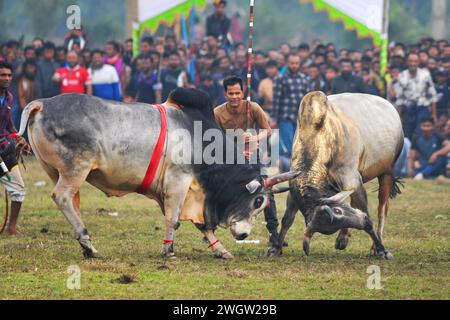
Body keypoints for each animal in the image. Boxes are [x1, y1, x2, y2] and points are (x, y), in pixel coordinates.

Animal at [19, 88, 298, 260]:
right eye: (258, 201)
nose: (244, 235)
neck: (200, 138)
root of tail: (42, 103)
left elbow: (201, 225)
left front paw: (221, 250)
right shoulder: (178, 181)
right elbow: (173, 219)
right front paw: (169, 251)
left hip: (56, 171)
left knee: (72, 202)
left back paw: (87, 246)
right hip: (75, 169)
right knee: (63, 197)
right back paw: (89, 243)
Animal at [270, 91, 404, 258]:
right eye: (338, 212)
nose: (364, 221)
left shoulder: (354, 181)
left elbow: (367, 213)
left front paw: (381, 249)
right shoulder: (294, 189)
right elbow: (287, 219)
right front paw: (276, 248)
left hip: (387, 172)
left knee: (382, 210)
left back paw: (374, 245)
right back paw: (343, 239)